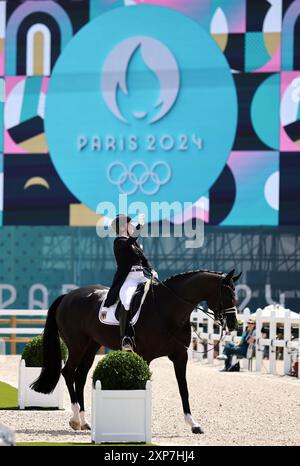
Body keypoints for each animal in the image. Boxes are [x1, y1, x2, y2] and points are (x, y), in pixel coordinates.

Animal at [31, 268, 240, 436]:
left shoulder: (180, 356)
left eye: (235, 294)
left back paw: (84, 422)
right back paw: (75, 419)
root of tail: (67, 296)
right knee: (68, 372)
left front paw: (193, 424)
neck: (167, 309)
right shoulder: (145, 356)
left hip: (91, 346)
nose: (233, 325)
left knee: (80, 377)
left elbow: (184, 389)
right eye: (227, 294)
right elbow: (144, 385)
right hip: (77, 345)